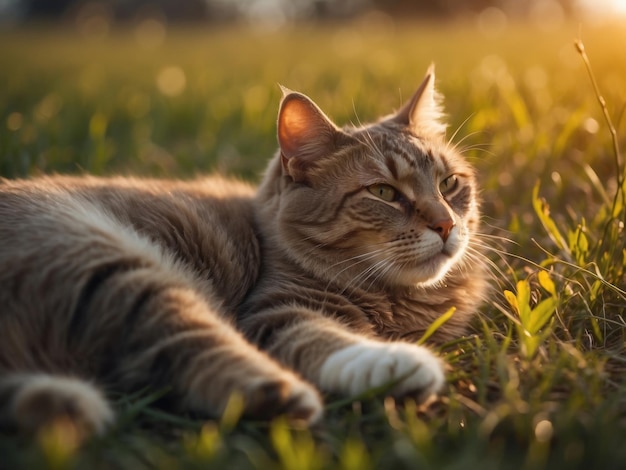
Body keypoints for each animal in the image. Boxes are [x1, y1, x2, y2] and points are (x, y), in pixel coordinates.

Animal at [0, 68, 488, 438]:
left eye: (449, 184)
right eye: (384, 192)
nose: (446, 224)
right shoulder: (273, 312)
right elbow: (325, 339)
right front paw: (396, 363)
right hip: (114, 267)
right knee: (193, 350)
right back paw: (285, 395)